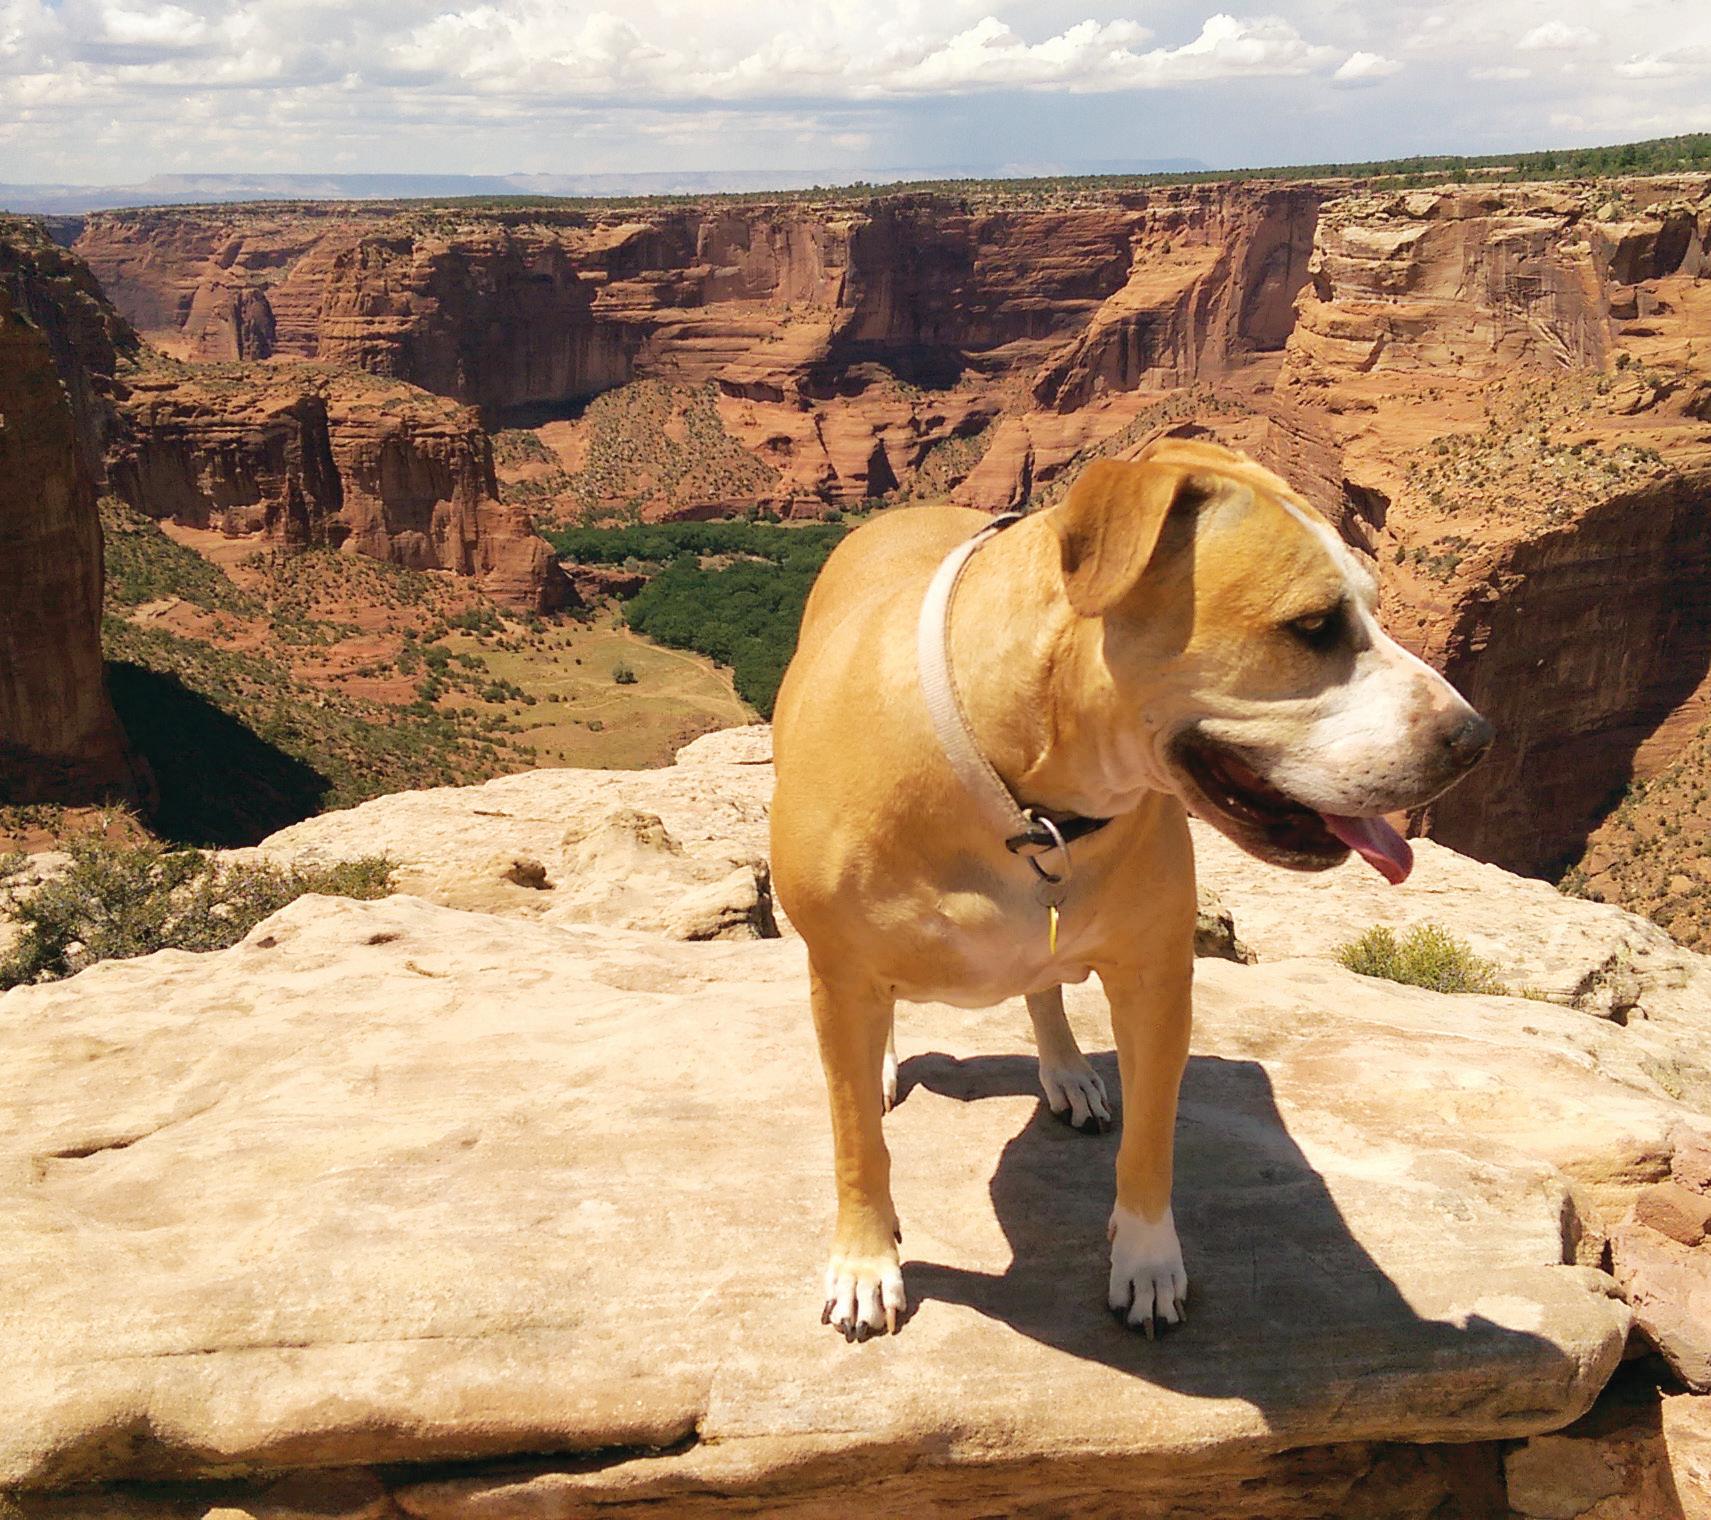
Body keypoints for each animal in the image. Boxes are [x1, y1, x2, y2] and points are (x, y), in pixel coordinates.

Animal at [769, 438, 1492, 1342]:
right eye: (1312, 626)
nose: (1475, 737)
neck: (1024, 798)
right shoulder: (838, 973)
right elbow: (855, 1141)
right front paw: (866, 1263)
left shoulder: (1155, 979)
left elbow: (1151, 1137)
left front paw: (1146, 1263)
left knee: (1042, 987)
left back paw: (1067, 1070)